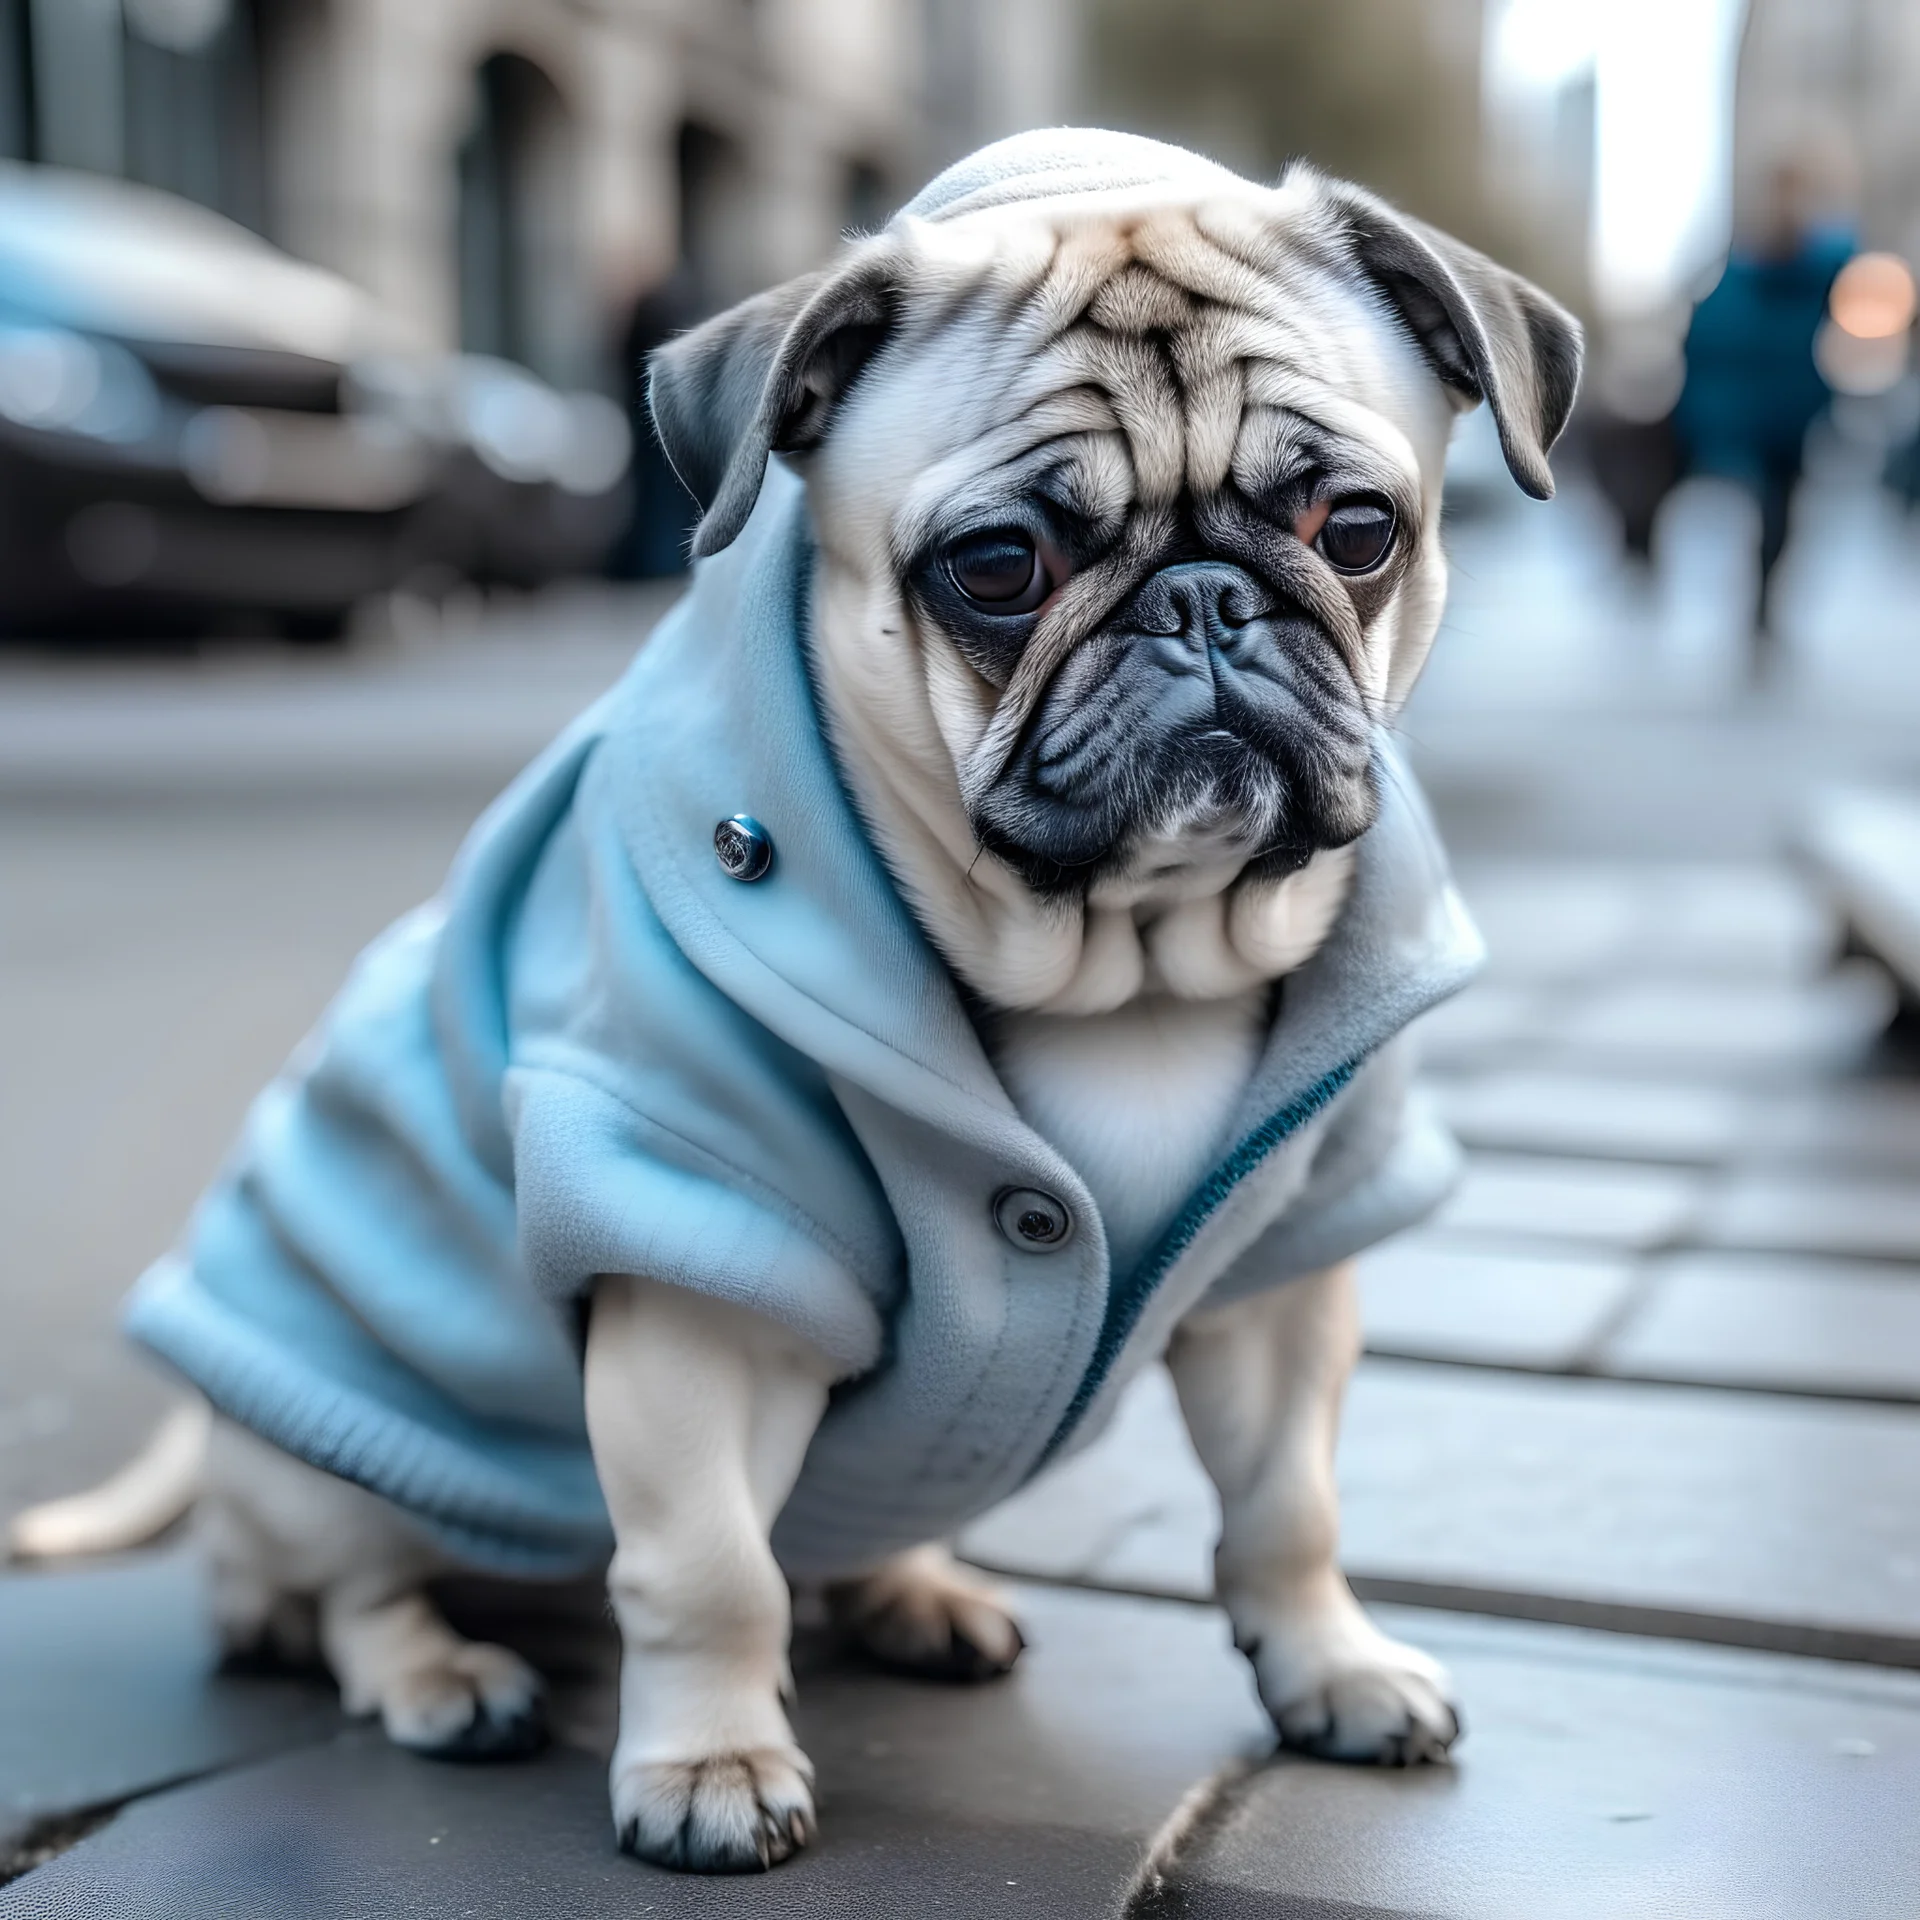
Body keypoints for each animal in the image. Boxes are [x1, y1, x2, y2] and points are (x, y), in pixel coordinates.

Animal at [15, 135, 1574, 1873]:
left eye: (1357, 527)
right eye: (998, 568)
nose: (1202, 604)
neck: (1126, 959)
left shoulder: (1281, 1286)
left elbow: (1288, 1508)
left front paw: (1334, 1671)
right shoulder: (701, 1284)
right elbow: (705, 1569)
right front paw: (706, 1765)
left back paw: (918, 1595)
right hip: (332, 1448)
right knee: (347, 1593)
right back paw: (445, 1675)